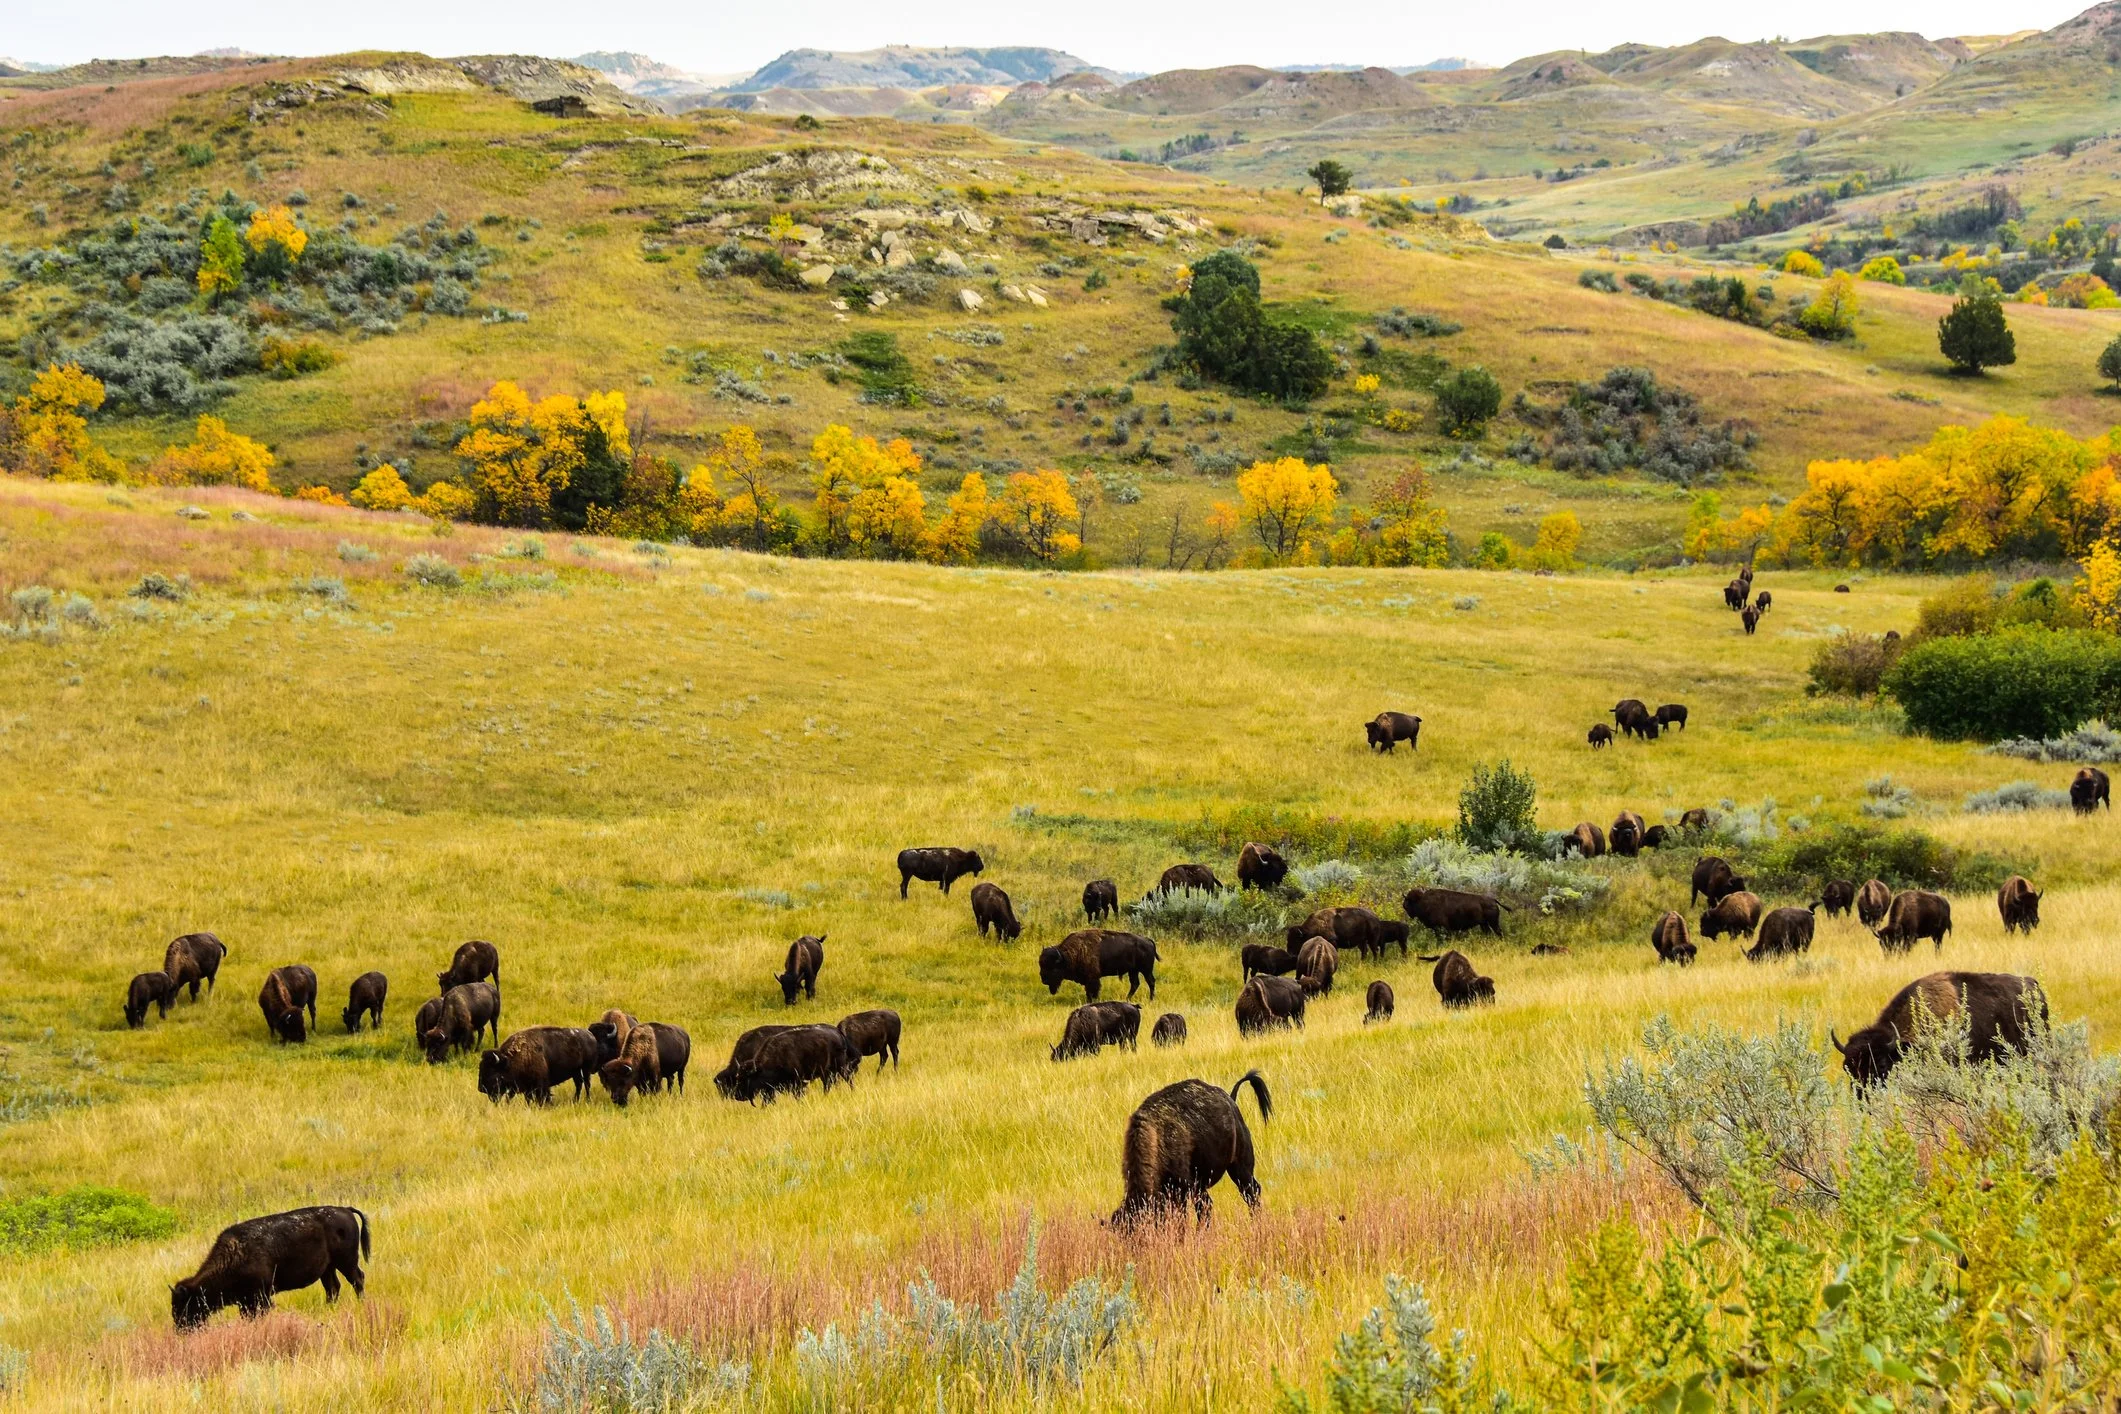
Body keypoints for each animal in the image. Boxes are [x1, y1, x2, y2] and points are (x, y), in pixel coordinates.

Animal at [171, 1206, 369, 1328]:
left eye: (186, 1305)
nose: (181, 1329)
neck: (235, 1254)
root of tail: (345, 1209)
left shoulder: (261, 1297)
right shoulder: (245, 1301)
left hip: (347, 1262)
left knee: (357, 1280)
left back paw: (361, 1304)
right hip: (328, 1269)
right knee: (333, 1288)